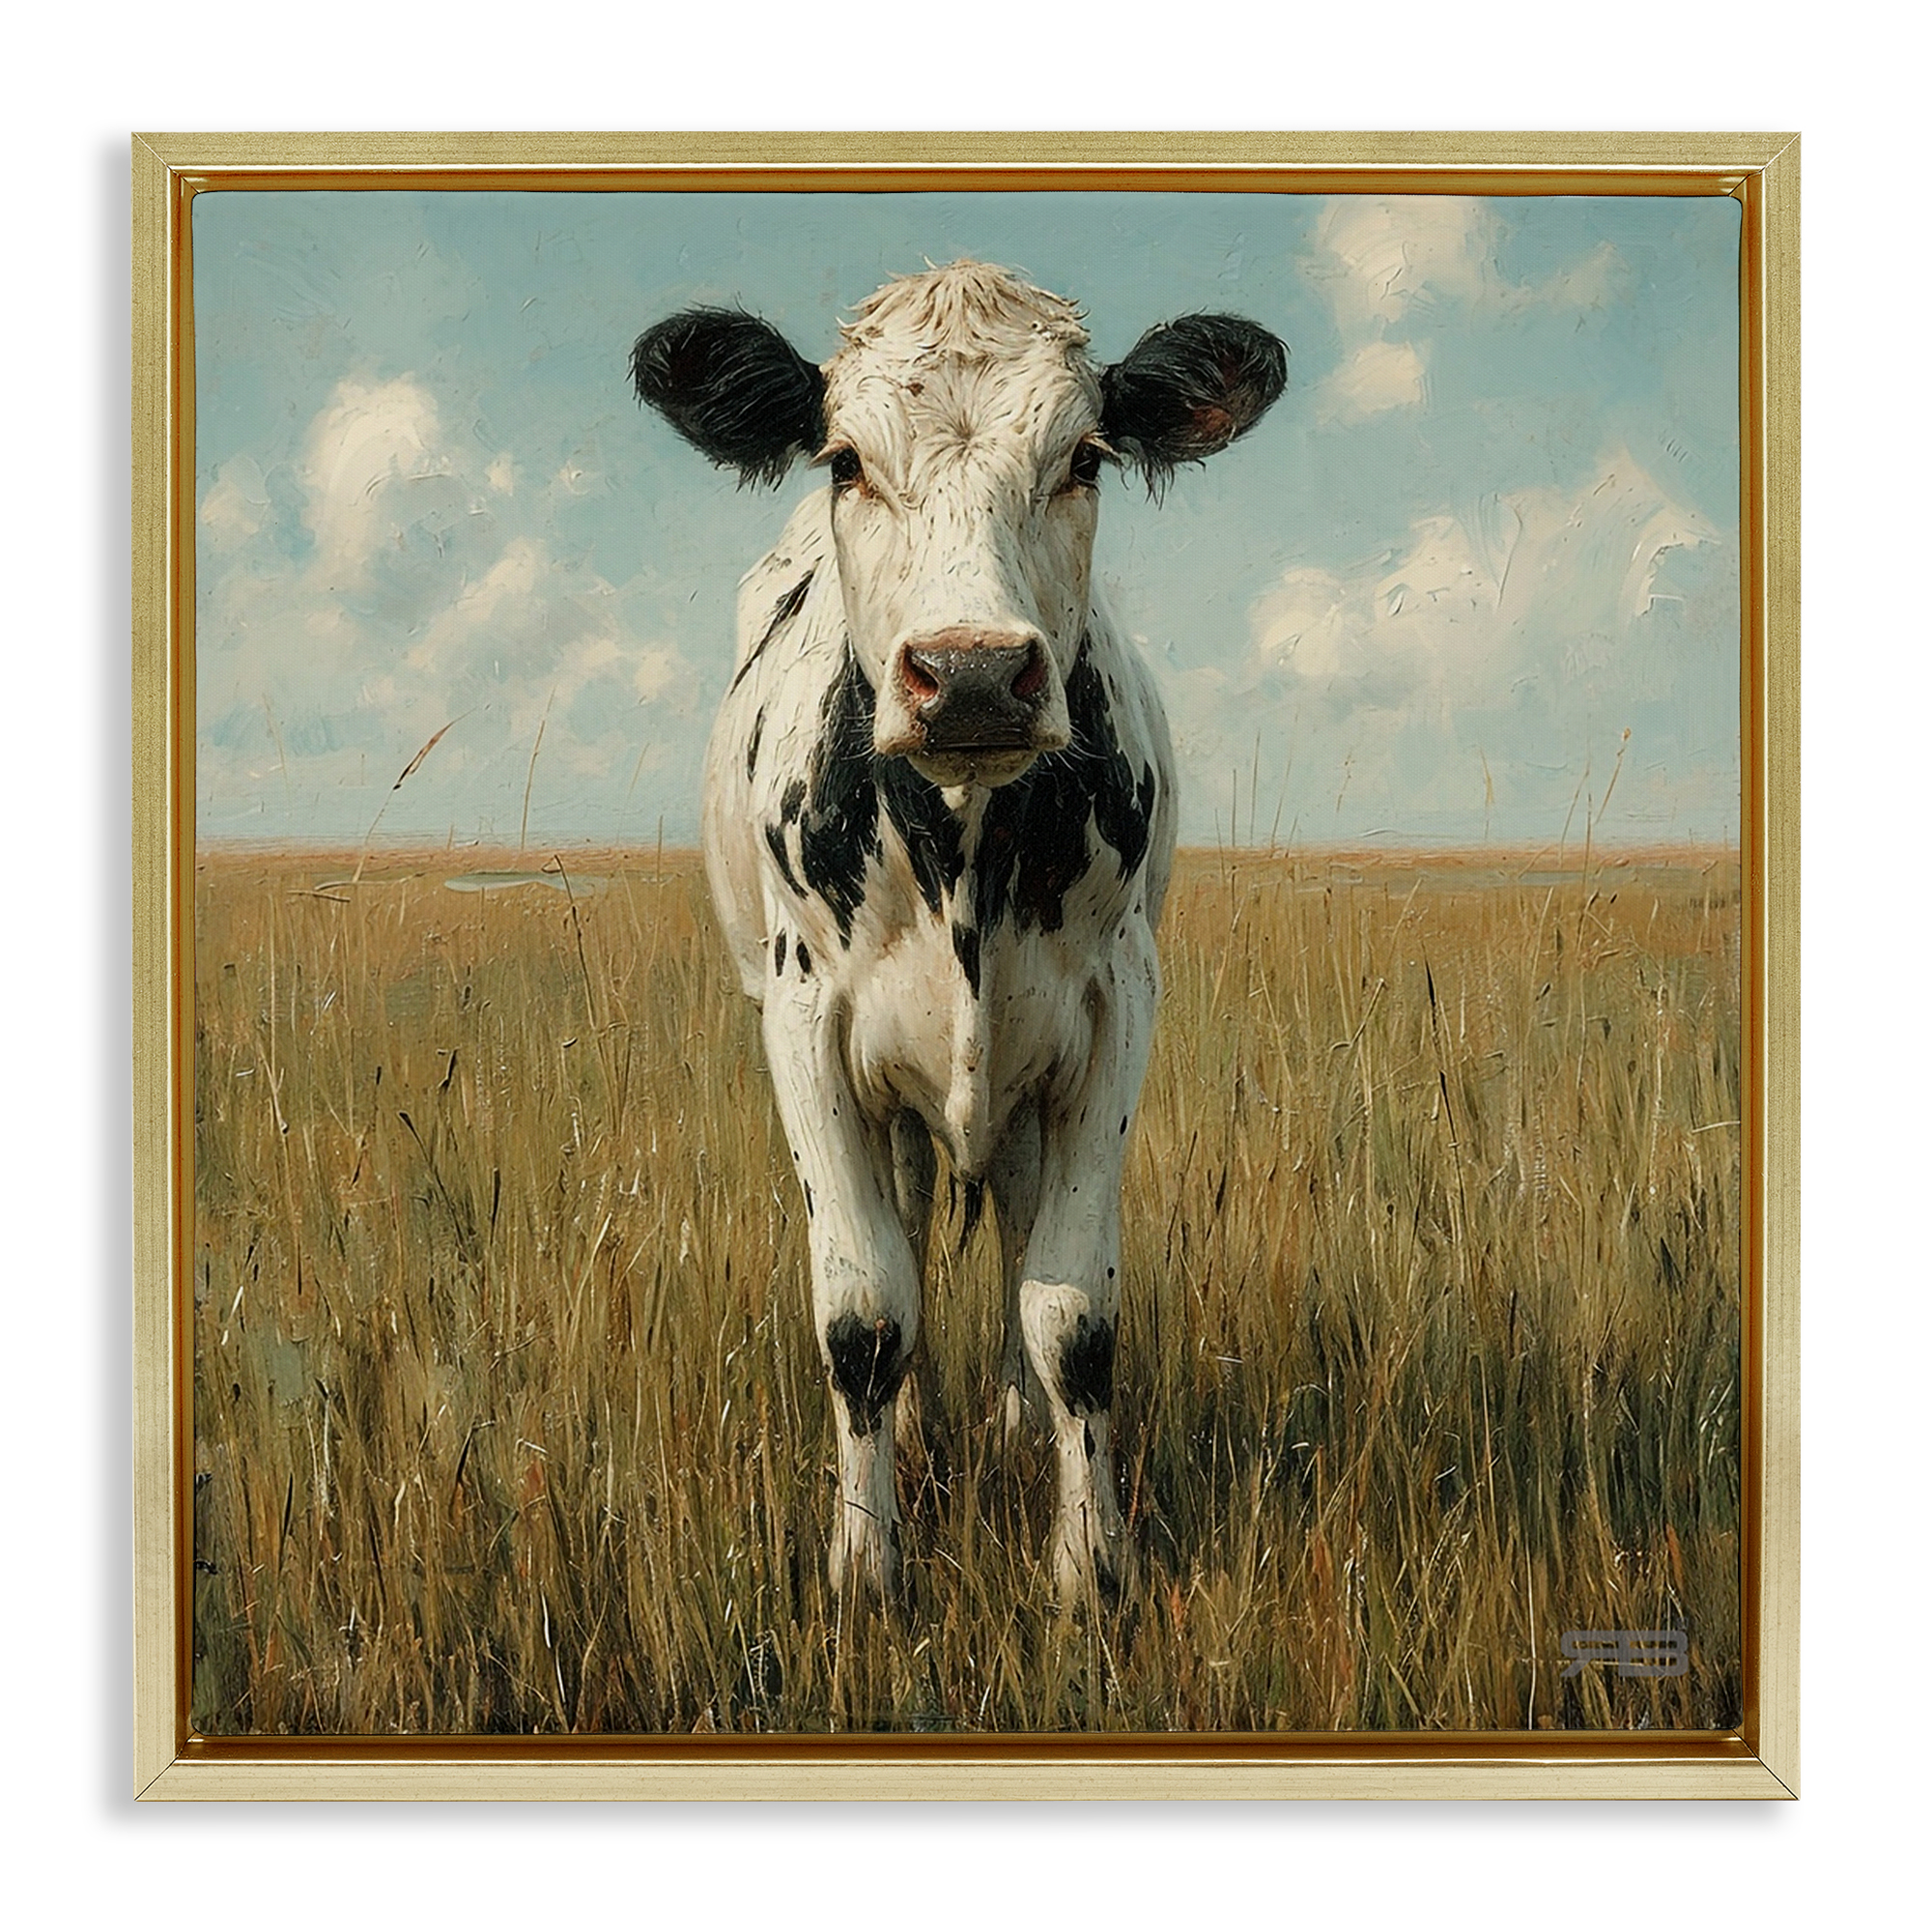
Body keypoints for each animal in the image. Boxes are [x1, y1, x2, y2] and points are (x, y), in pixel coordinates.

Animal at [631, 261, 1285, 1606]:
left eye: (1083, 456)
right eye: (843, 459)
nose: (973, 673)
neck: (962, 853)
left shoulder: (1114, 1008)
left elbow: (1069, 1308)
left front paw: (1088, 1566)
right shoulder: (801, 1020)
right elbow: (865, 1308)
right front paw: (864, 1565)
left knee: (1012, 1225)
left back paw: (1008, 1420)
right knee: (915, 1222)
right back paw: (926, 1426)